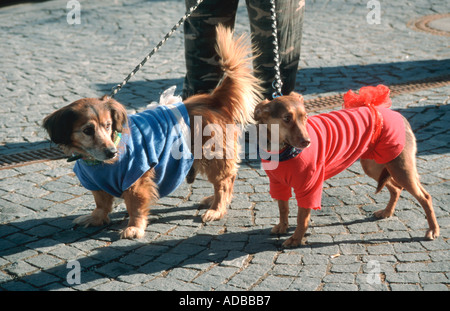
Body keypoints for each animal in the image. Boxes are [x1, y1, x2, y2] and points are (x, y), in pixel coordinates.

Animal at [44, 26, 262, 241]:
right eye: (88, 130)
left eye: (108, 125)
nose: (111, 152)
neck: (98, 162)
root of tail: (212, 99)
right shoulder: (96, 183)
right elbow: (101, 203)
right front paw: (96, 218)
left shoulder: (136, 181)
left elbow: (135, 207)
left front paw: (134, 227)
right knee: (227, 181)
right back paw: (214, 201)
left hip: (213, 158)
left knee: (224, 183)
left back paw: (217, 209)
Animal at [256, 91, 440, 249]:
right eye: (286, 118)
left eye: (305, 117)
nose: (307, 142)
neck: (282, 151)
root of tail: (398, 115)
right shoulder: (278, 184)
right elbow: (283, 209)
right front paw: (282, 227)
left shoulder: (309, 187)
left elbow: (302, 218)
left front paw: (295, 239)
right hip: (374, 166)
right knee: (396, 188)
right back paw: (387, 212)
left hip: (400, 168)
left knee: (425, 197)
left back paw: (433, 230)